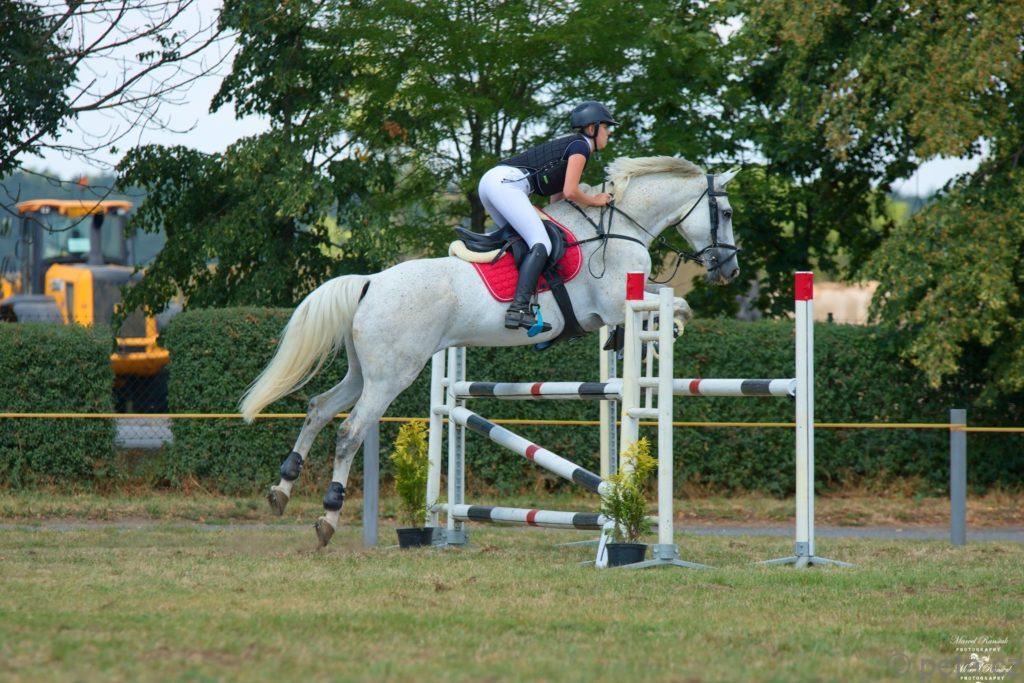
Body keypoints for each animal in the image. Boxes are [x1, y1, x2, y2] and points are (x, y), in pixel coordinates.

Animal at [239, 156, 741, 547]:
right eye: (728, 211)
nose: (730, 270)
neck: (617, 229)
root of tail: (371, 283)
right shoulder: (617, 302)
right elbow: (677, 302)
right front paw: (670, 327)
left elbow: (668, 300)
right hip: (392, 375)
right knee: (350, 431)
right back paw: (327, 517)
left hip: (364, 371)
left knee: (319, 407)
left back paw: (282, 489)